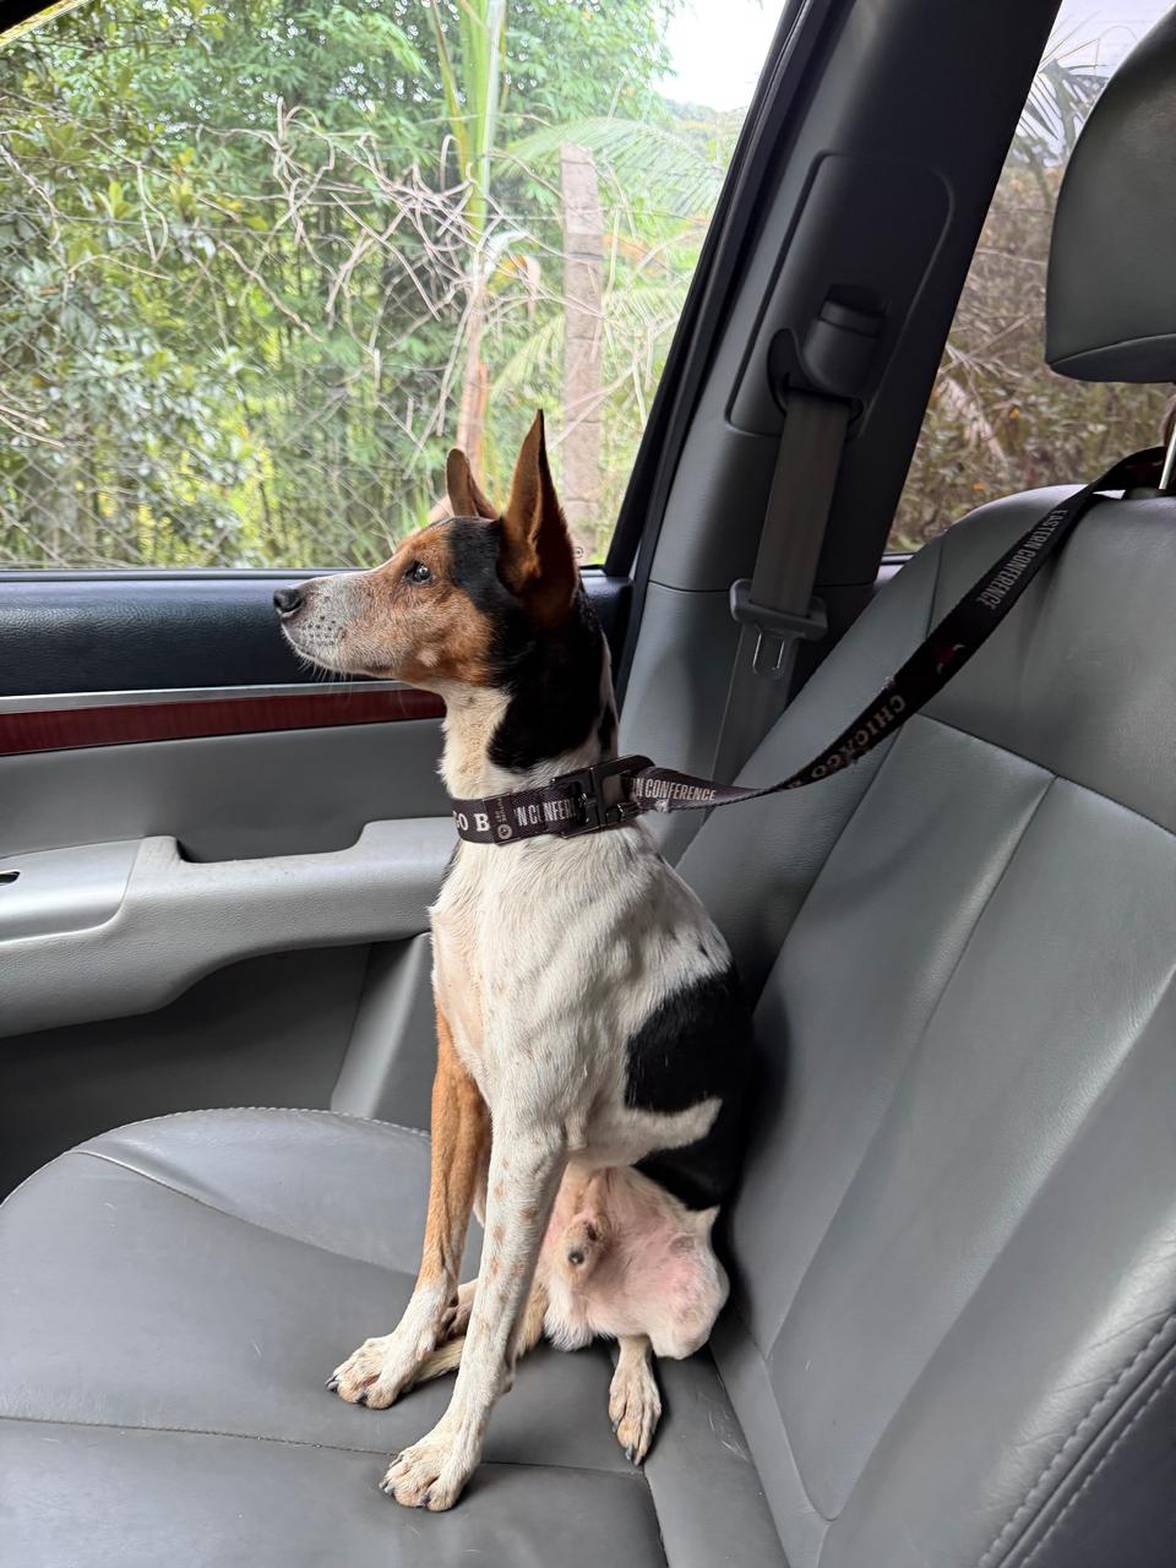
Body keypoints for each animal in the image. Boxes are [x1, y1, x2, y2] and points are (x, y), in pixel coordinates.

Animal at [277, 411, 751, 1510]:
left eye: (420, 573)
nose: (282, 598)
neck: (525, 833)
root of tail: (582, 1271)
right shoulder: (462, 1084)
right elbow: (435, 1257)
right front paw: (406, 1350)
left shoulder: (530, 1130)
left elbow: (493, 1334)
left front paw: (451, 1454)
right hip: (522, 1205)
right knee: (521, 1308)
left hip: (692, 1293)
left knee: (602, 1333)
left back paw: (626, 1390)